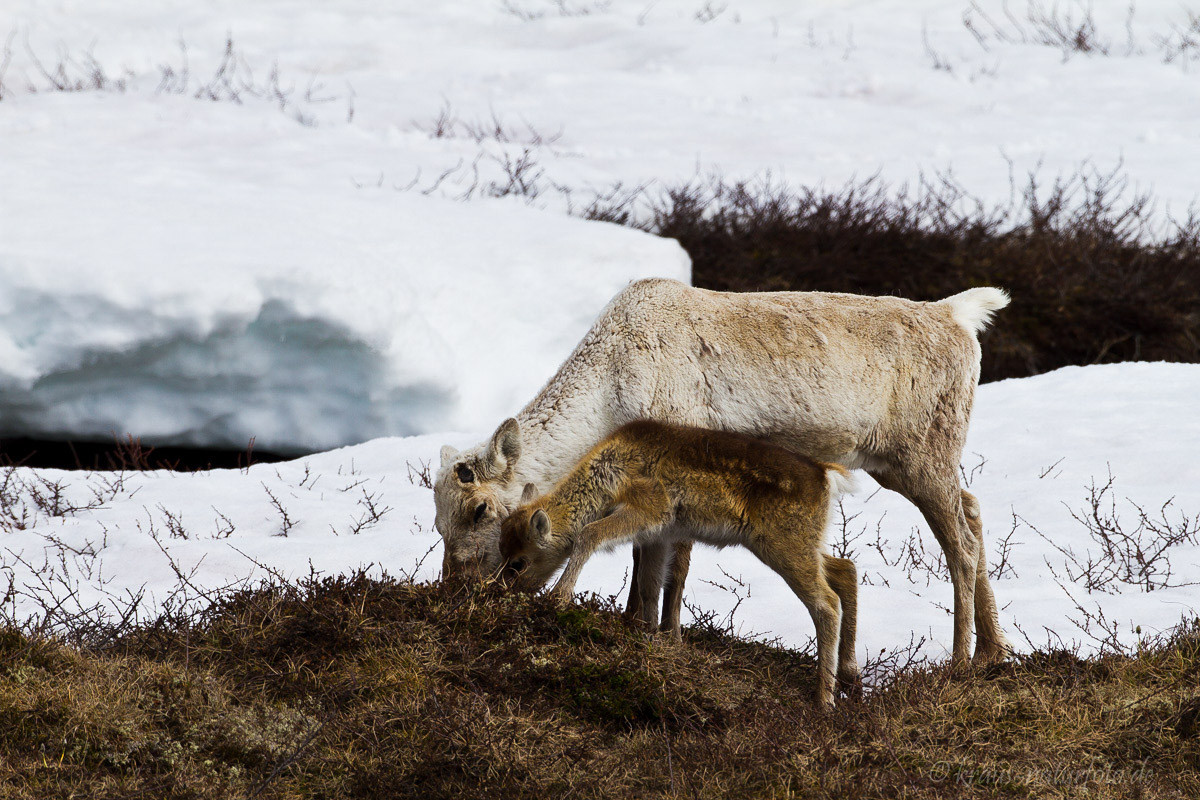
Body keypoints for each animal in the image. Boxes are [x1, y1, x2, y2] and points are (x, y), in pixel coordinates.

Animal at [501, 419, 859, 705]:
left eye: (518, 562)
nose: (500, 591)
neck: (610, 479)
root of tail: (828, 477)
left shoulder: (651, 508)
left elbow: (589, 534)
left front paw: (559, 596)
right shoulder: (659, 533)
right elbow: (648, 584)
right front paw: (651, 636)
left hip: (785, 543)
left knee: (826, 603)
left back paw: (824, 699)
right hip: (804, 543)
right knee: (846, 568)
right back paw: (849, 675)